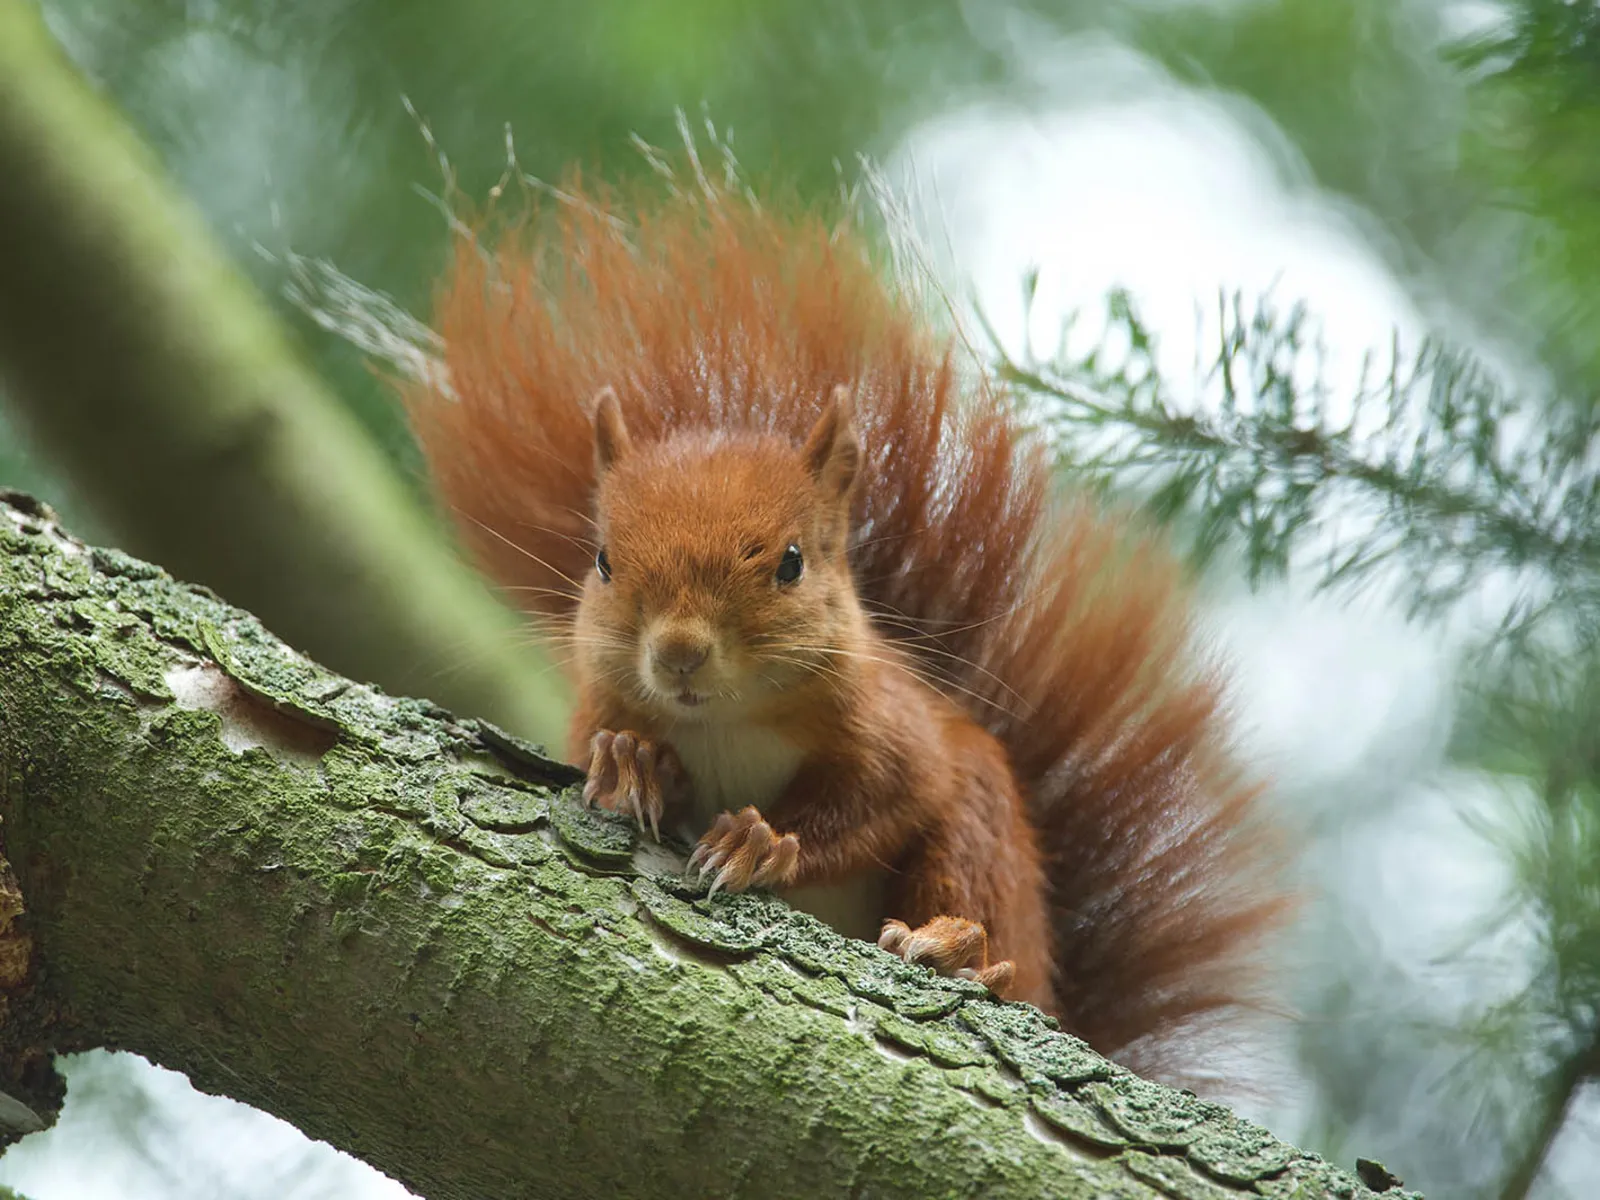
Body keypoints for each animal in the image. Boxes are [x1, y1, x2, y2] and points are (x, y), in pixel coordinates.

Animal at [402, 163, 1288, 1077]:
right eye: (604, 561)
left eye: (792, 563)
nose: (679, 653)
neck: (728, 721)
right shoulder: (597, 703)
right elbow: (600, 752)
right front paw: (631, 765)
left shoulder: (892, 729)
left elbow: (880, 798)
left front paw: (760, 843)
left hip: (982, 833)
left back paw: (960, 951)